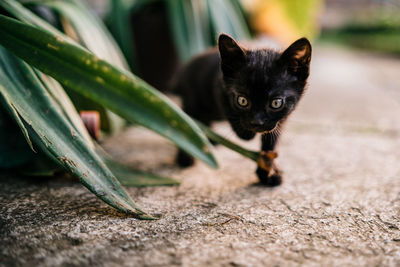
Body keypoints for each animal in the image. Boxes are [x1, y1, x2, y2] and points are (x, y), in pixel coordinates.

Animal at [172, 34, 312, 186]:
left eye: (276, 103)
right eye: (242, 101)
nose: (257, 122)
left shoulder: (280, 120)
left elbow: (270, 142)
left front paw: (267, 171)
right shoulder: (219, 87)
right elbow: (231, 114)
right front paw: (246, 134)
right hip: (191, 102)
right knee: (185, 123)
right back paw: (185, 157)